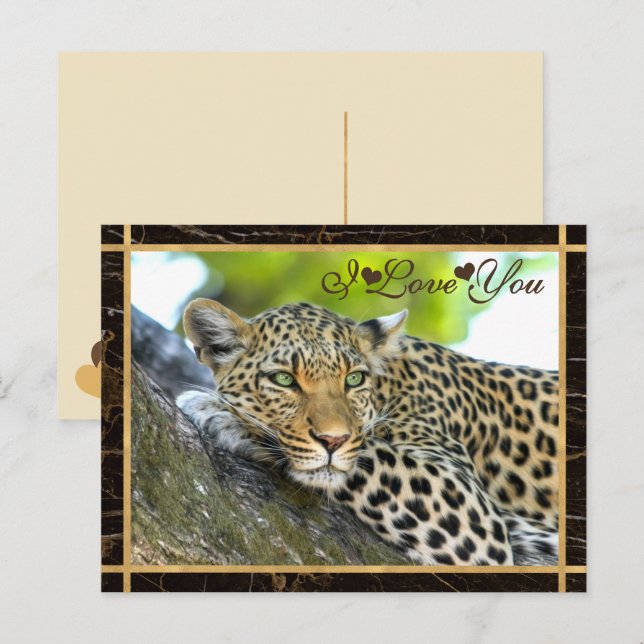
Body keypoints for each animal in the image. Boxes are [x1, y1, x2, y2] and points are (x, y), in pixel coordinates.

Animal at [177, 298, 559, 565]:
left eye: (354, 379)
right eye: (284, 380)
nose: (333, 440)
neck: (391, 384)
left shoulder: (469, 509)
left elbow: (367, 453)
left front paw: (222, 413)